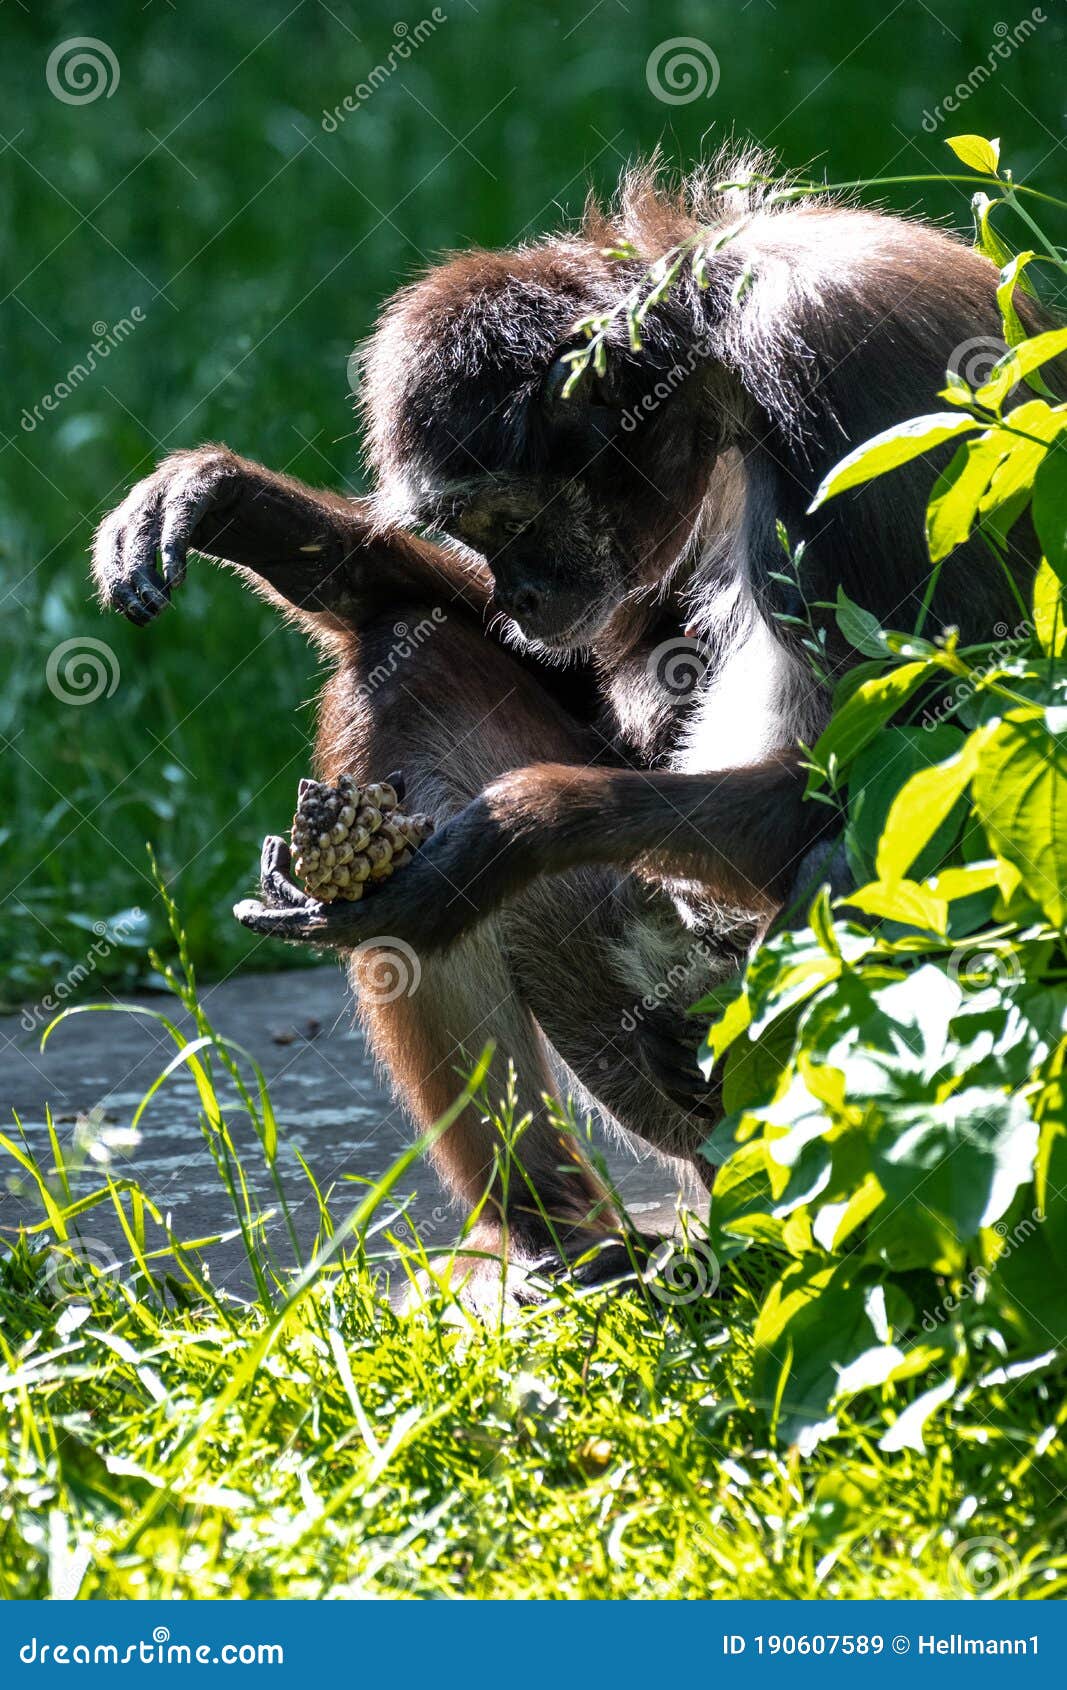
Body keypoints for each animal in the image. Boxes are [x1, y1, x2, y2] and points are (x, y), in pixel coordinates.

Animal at [91, 148, 1055, 1304]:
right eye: (472, 536)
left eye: (503, 520)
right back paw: (559, 1244)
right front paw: (236, 504)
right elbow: (586, 683)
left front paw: (506, 833)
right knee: (409, 655)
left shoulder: (842, 352)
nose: (516, 593)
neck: (723, 349)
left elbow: (911, 773)